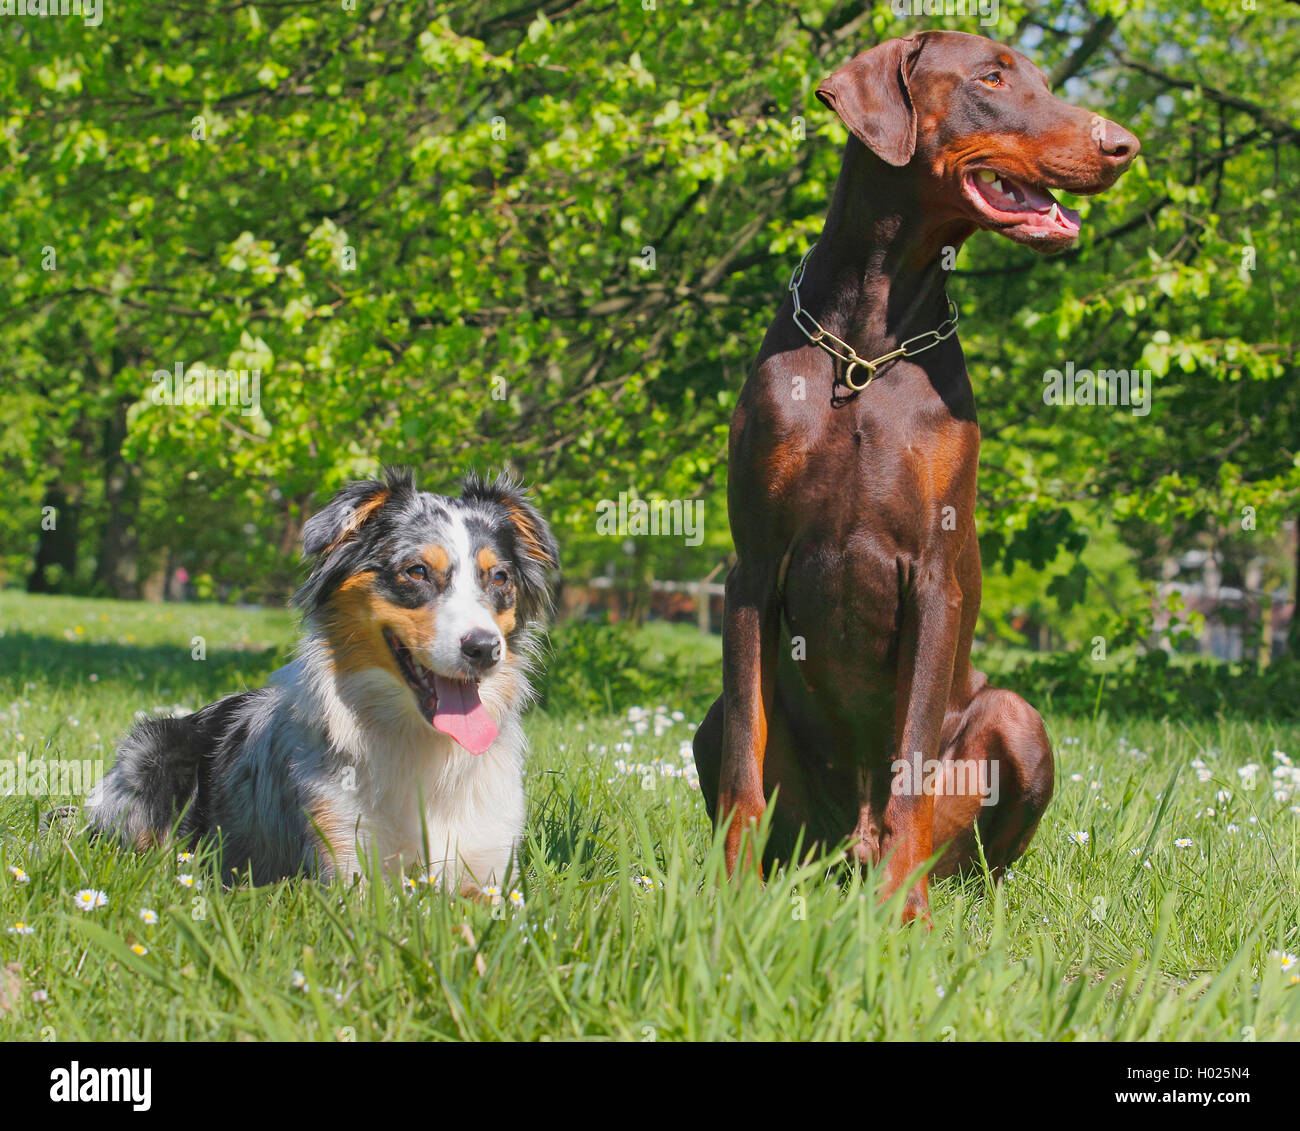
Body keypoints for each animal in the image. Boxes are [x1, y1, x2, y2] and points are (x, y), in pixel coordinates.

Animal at [83, 470, 561, 894]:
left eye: (499, 578)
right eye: (417, 571)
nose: (484, 648)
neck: (422, 744)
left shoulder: (491, 868)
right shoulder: (345, 861)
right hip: (156, 752)